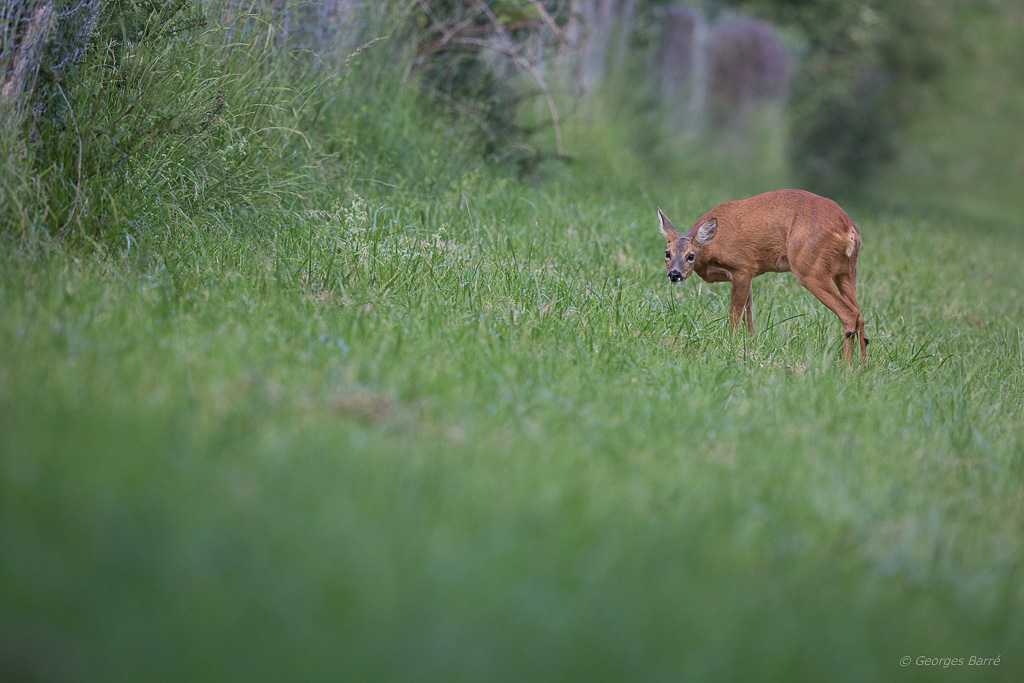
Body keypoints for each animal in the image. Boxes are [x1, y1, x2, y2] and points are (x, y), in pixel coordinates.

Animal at [659, 188, 868, 362]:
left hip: (809, 268)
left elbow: (735, 315)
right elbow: (749, 315)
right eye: (667, 253)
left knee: (849, 314)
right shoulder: (749, 274)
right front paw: (752, 346)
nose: (674, 274)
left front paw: (730, 345)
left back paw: (845, 368)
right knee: (859, 315)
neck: (710, 249)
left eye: (690, 256)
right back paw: (862, 367)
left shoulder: (743, 267)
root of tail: (849, 229)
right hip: (846, 271)